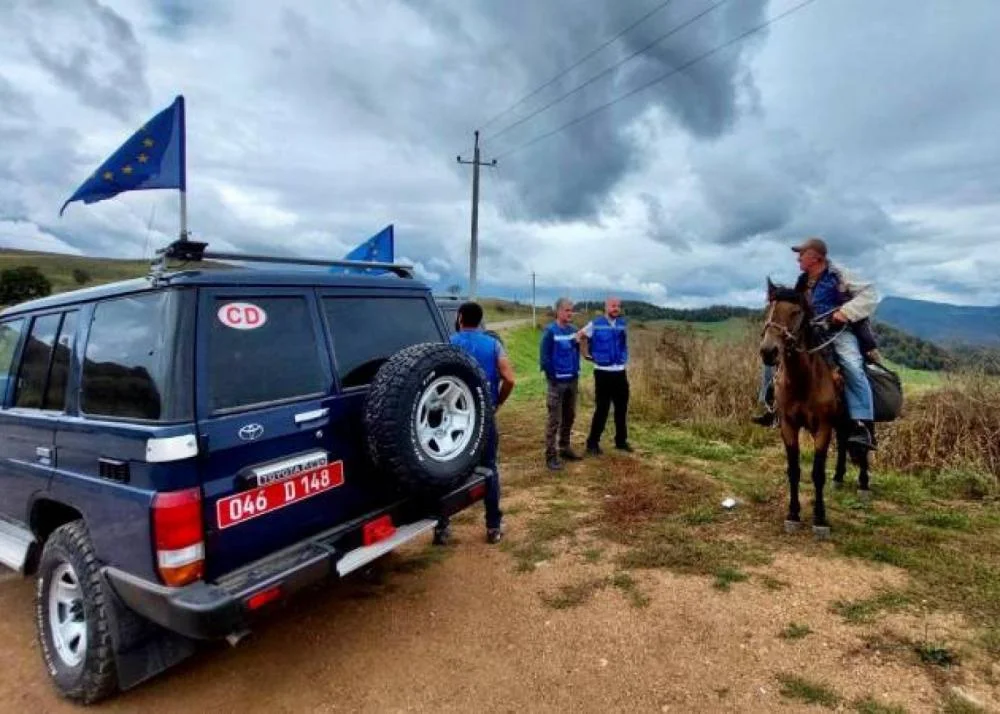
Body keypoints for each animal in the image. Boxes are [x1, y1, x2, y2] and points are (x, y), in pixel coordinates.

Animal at [760, 276, 872, 536]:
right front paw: (793, 514)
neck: (803, 381)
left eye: (796, 312)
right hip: (841, 423)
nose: (769, 351)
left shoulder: (822, 428)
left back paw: (863, 484)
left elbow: (818, 473)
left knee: (863, 445)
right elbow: (794, 470)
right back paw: (839, 479)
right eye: (769, 309)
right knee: (844, 443)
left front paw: (820, 518)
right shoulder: (788, 426)